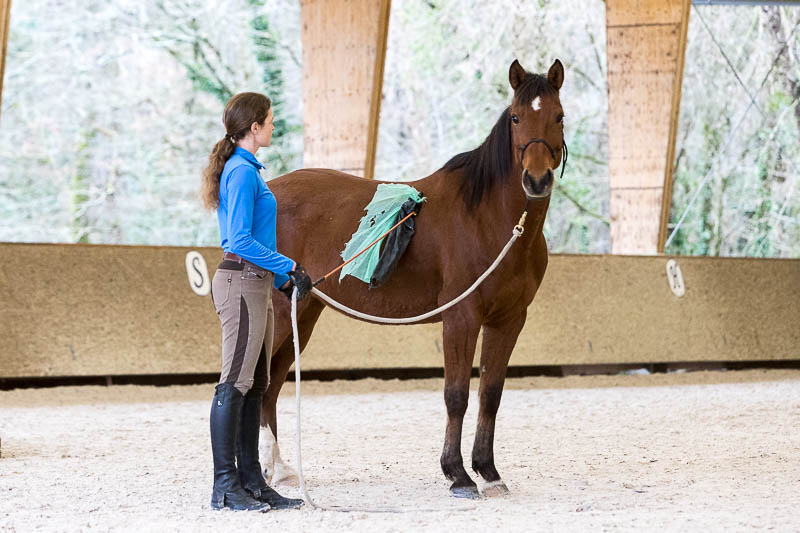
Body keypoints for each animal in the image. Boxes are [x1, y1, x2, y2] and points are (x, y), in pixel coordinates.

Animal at [258, 59, 566, 499]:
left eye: (558, 116)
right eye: (516, 117)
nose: (536, 180)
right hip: (281, 314)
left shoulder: (508, 321)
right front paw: (457, 474)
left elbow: (490, 394)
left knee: (271, 388)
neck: (491, 218)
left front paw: (489, 473)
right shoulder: (461, 318)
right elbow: (456, 395)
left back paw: (280, 470)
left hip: (304, 313)